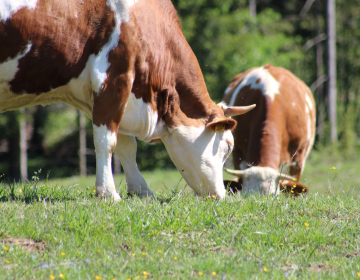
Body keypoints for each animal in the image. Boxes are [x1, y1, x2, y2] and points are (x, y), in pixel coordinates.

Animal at [0, 0, 255, 201]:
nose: (221, 196)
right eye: (228, 146)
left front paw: (141, 190)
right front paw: (108, 193)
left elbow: (126, 147)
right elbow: (106, 141)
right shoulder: (114, 78)